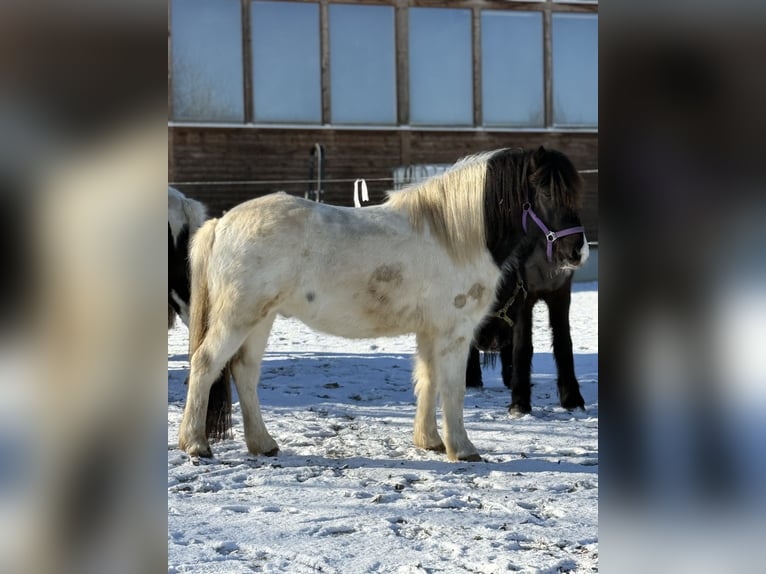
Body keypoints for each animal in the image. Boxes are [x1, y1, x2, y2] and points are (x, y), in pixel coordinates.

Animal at [178, 146, 588, 461]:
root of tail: (221, 223)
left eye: (574, 194)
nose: (576, 251)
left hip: (260, 319)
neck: (454, 237)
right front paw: (462, 449)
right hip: (239, 318)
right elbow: (452, 389)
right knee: (206, 364)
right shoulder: (454, 334)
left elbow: (428, 381)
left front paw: (430, 442)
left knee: (244, 372)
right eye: (546, 192)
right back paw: (196, 445)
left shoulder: (431, 332)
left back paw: (262, 444)